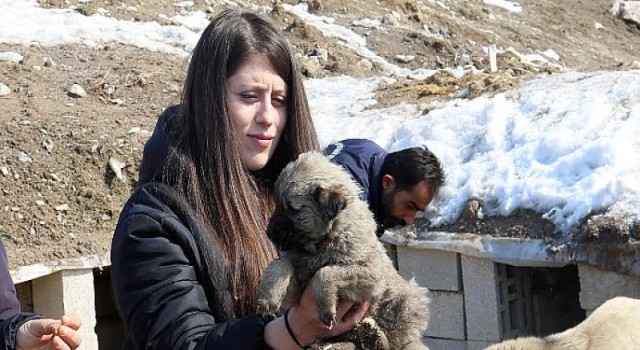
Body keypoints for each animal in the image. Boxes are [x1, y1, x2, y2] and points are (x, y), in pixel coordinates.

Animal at [256, 152, 430, 350]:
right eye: (277, 204)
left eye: (292, 209)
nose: (268, 232)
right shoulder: (298, 288)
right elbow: (281, 263)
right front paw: (268, 296)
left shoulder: (371, 275)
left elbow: (325, 272)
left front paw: (325, 306)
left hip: (407, 301)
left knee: (393, 341)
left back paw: (375, 337)